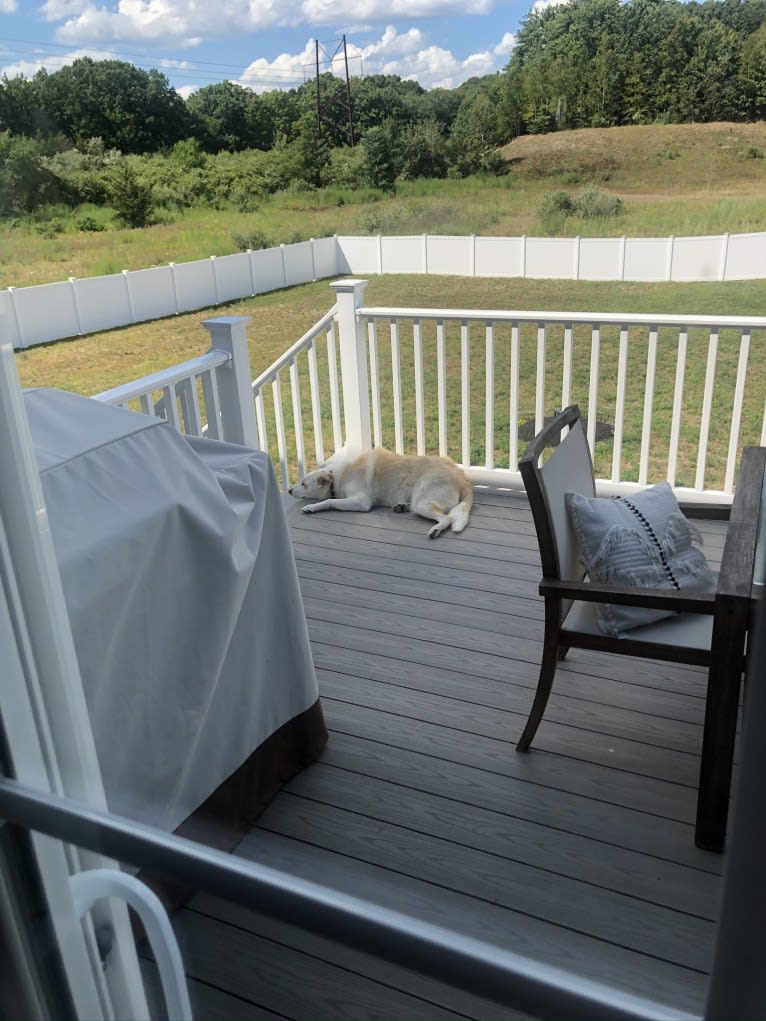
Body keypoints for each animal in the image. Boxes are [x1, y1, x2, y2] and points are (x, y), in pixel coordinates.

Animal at [290, 449, 473, 543]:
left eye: (303, 484)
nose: (289, 491)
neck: (337, 478)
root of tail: (462, 477)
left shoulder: (361, 501)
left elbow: (329, 501)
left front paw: (311, 507)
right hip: (418, 501)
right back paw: (401, 506)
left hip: (423, 502)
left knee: (447, 518)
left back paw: (435, 530)